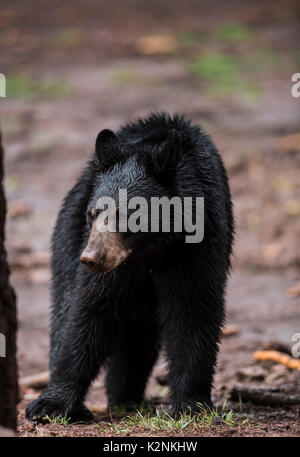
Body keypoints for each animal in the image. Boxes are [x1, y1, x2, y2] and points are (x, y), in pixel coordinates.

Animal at [25, 111, 233, 420]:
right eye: (93, 212)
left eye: (129, 215)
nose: (91, 257)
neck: (152, 247)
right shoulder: (110, 264)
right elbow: (88, 308)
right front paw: (51, 404)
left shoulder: (201, 242)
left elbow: (193, 308)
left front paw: (192, 404)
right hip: (67, 237)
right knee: (64, 306)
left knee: (137, 334)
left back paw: (125, 396)